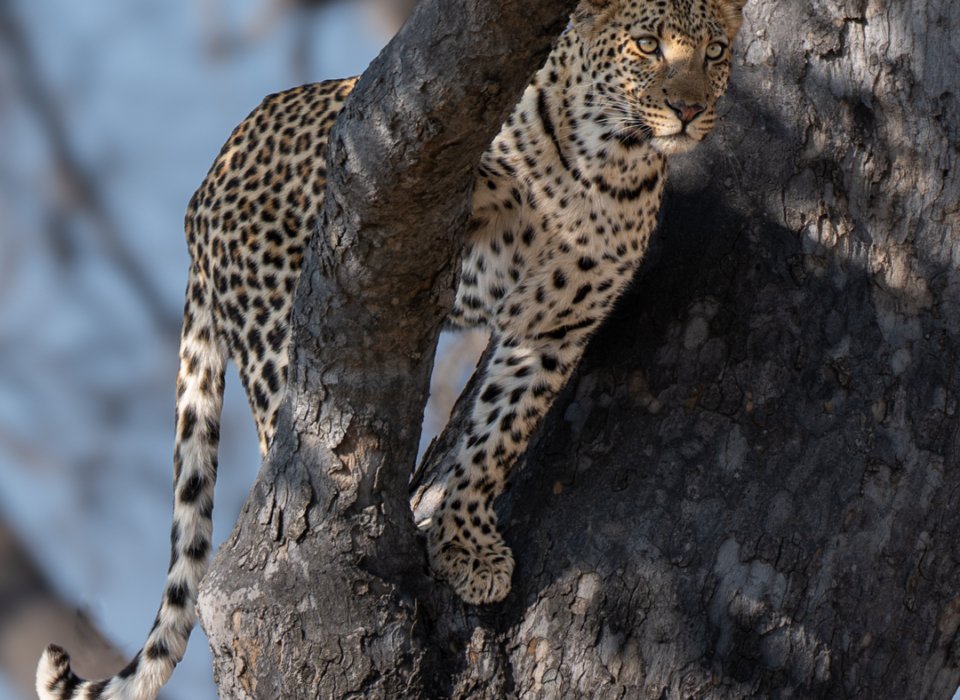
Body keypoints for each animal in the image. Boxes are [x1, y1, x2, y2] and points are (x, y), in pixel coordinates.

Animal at [36, 0, 747, 698]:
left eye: (714, 53)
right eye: (648, 46)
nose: (687, 108)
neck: (610, 158)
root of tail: (202, 193)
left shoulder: (550, 328)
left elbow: (498, 435)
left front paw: (467, 545)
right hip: (273, 315)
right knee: (283, 427)